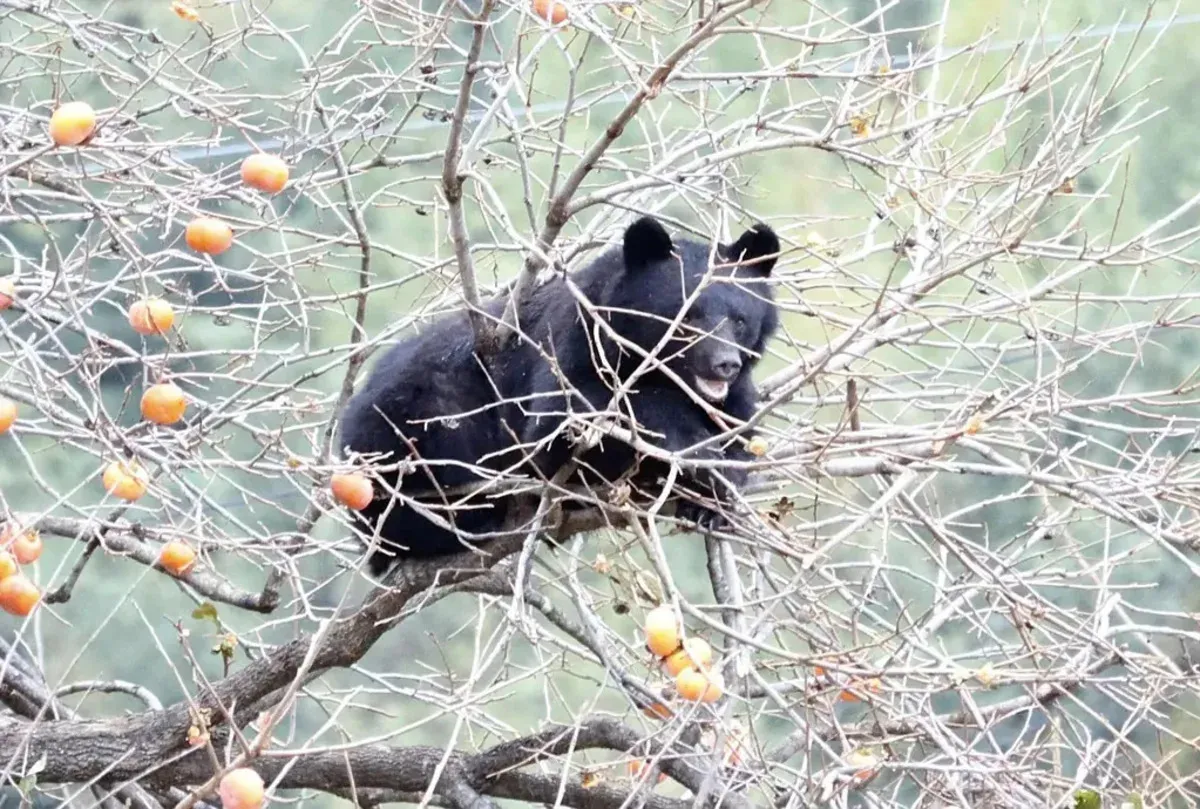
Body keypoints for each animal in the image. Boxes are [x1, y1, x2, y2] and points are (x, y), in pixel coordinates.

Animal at [337, 215, 780, 575]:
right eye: (688, 317)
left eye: (740, 320)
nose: (724, 364)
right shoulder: (572, 344)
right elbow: (560, 423)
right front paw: (697, 451)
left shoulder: (735, 398)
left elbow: (742, 434)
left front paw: (711, 498)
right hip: (414, 421)